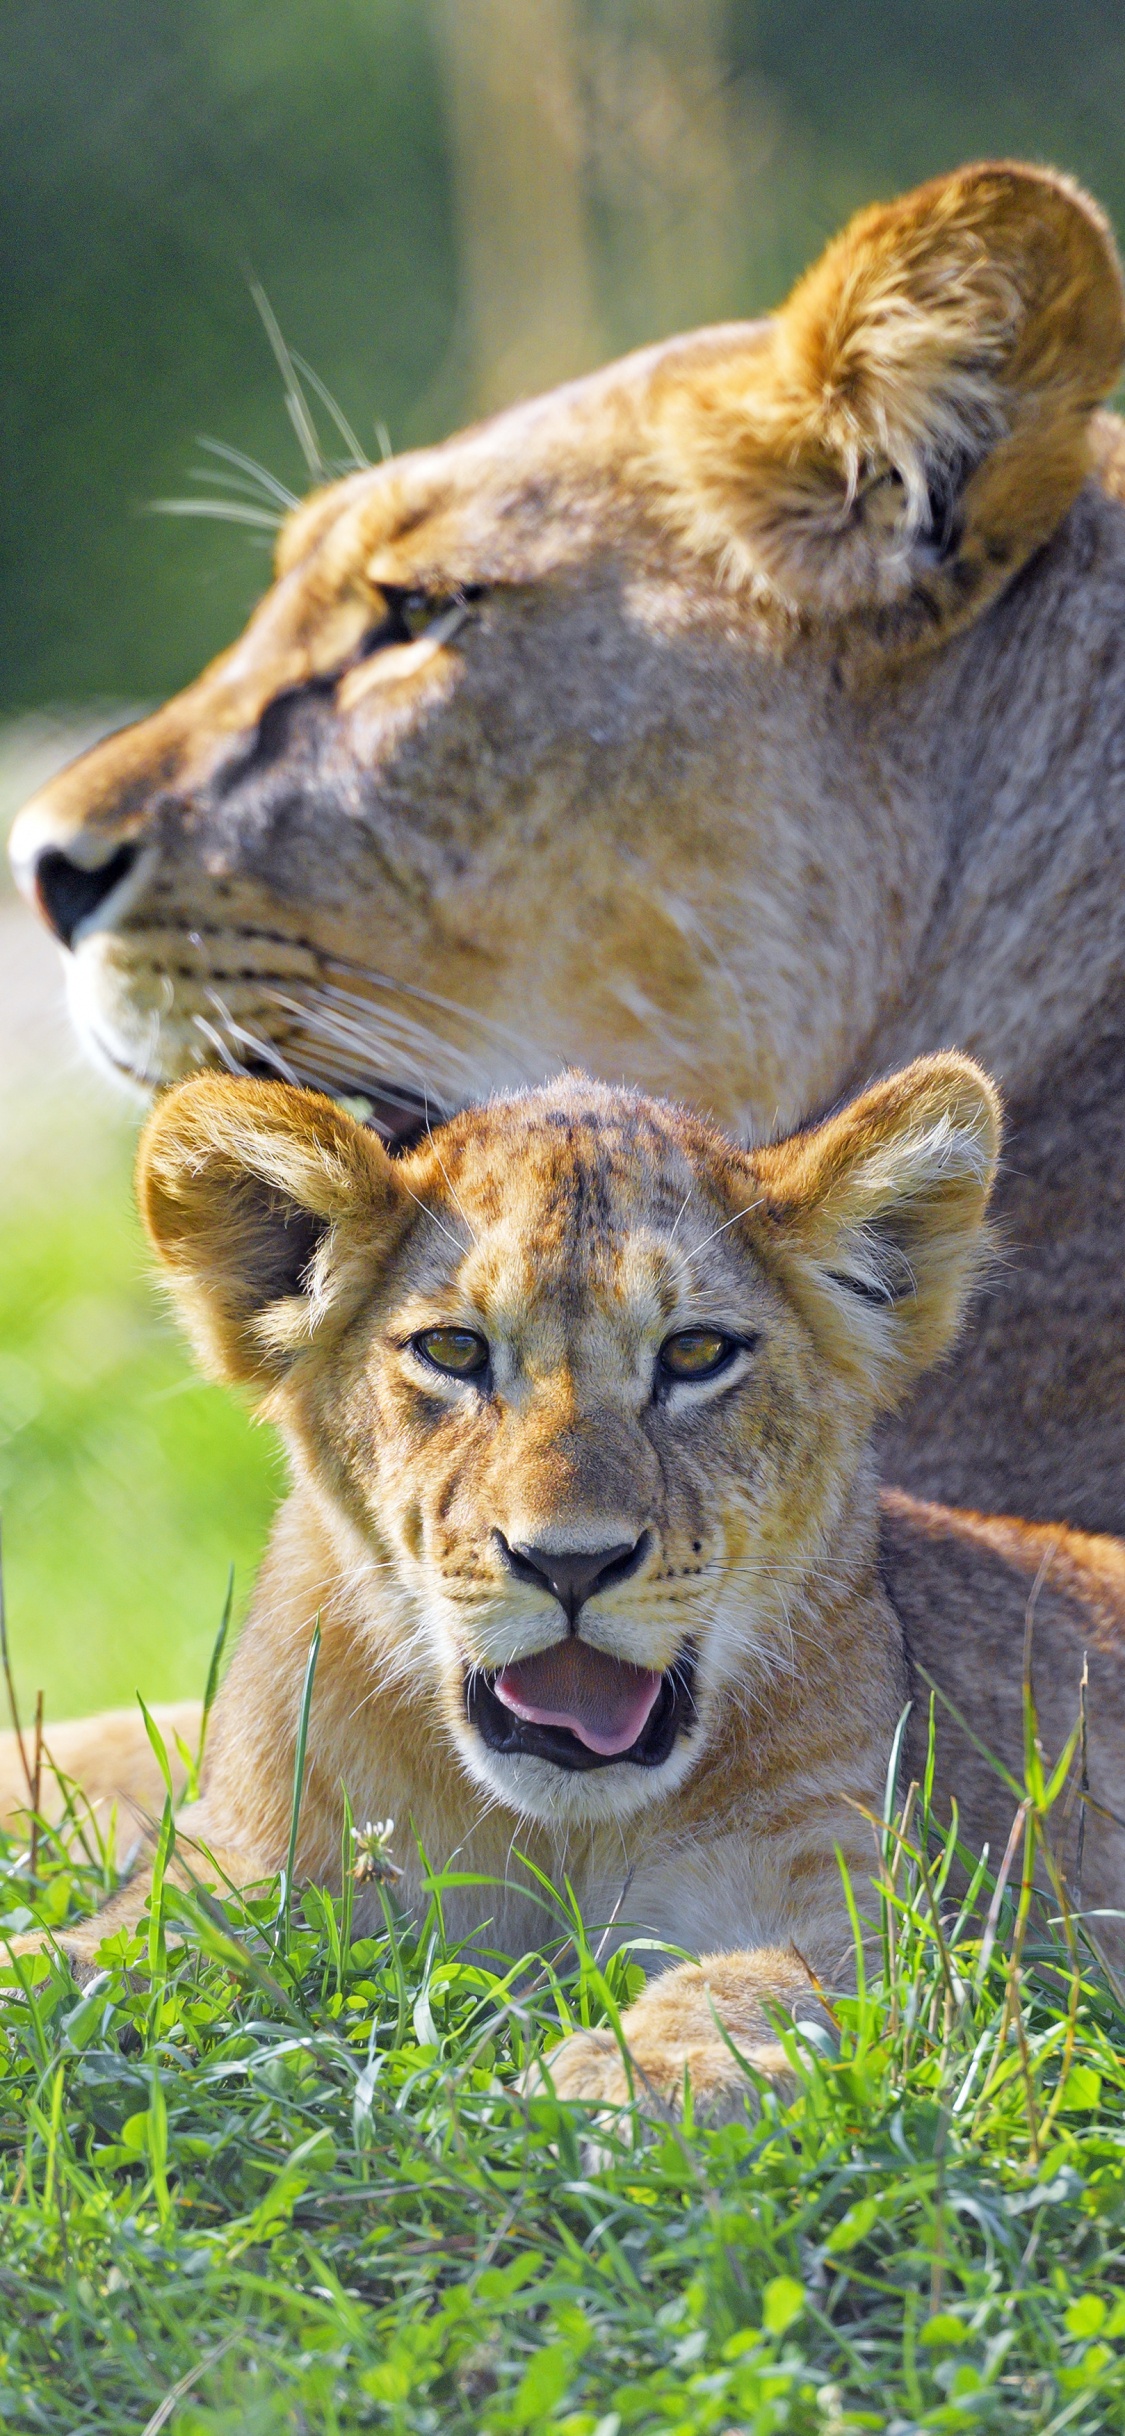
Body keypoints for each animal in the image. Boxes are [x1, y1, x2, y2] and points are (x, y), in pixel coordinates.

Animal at [16, 1056, 1121, 2121]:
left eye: (696, 1353)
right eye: (454, 1350)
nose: (570, 1564)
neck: (554, 1833)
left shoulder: (873, 1922)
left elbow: (752, 1988)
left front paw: (634, 2079)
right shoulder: (247, 1862)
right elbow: (99, 1949)